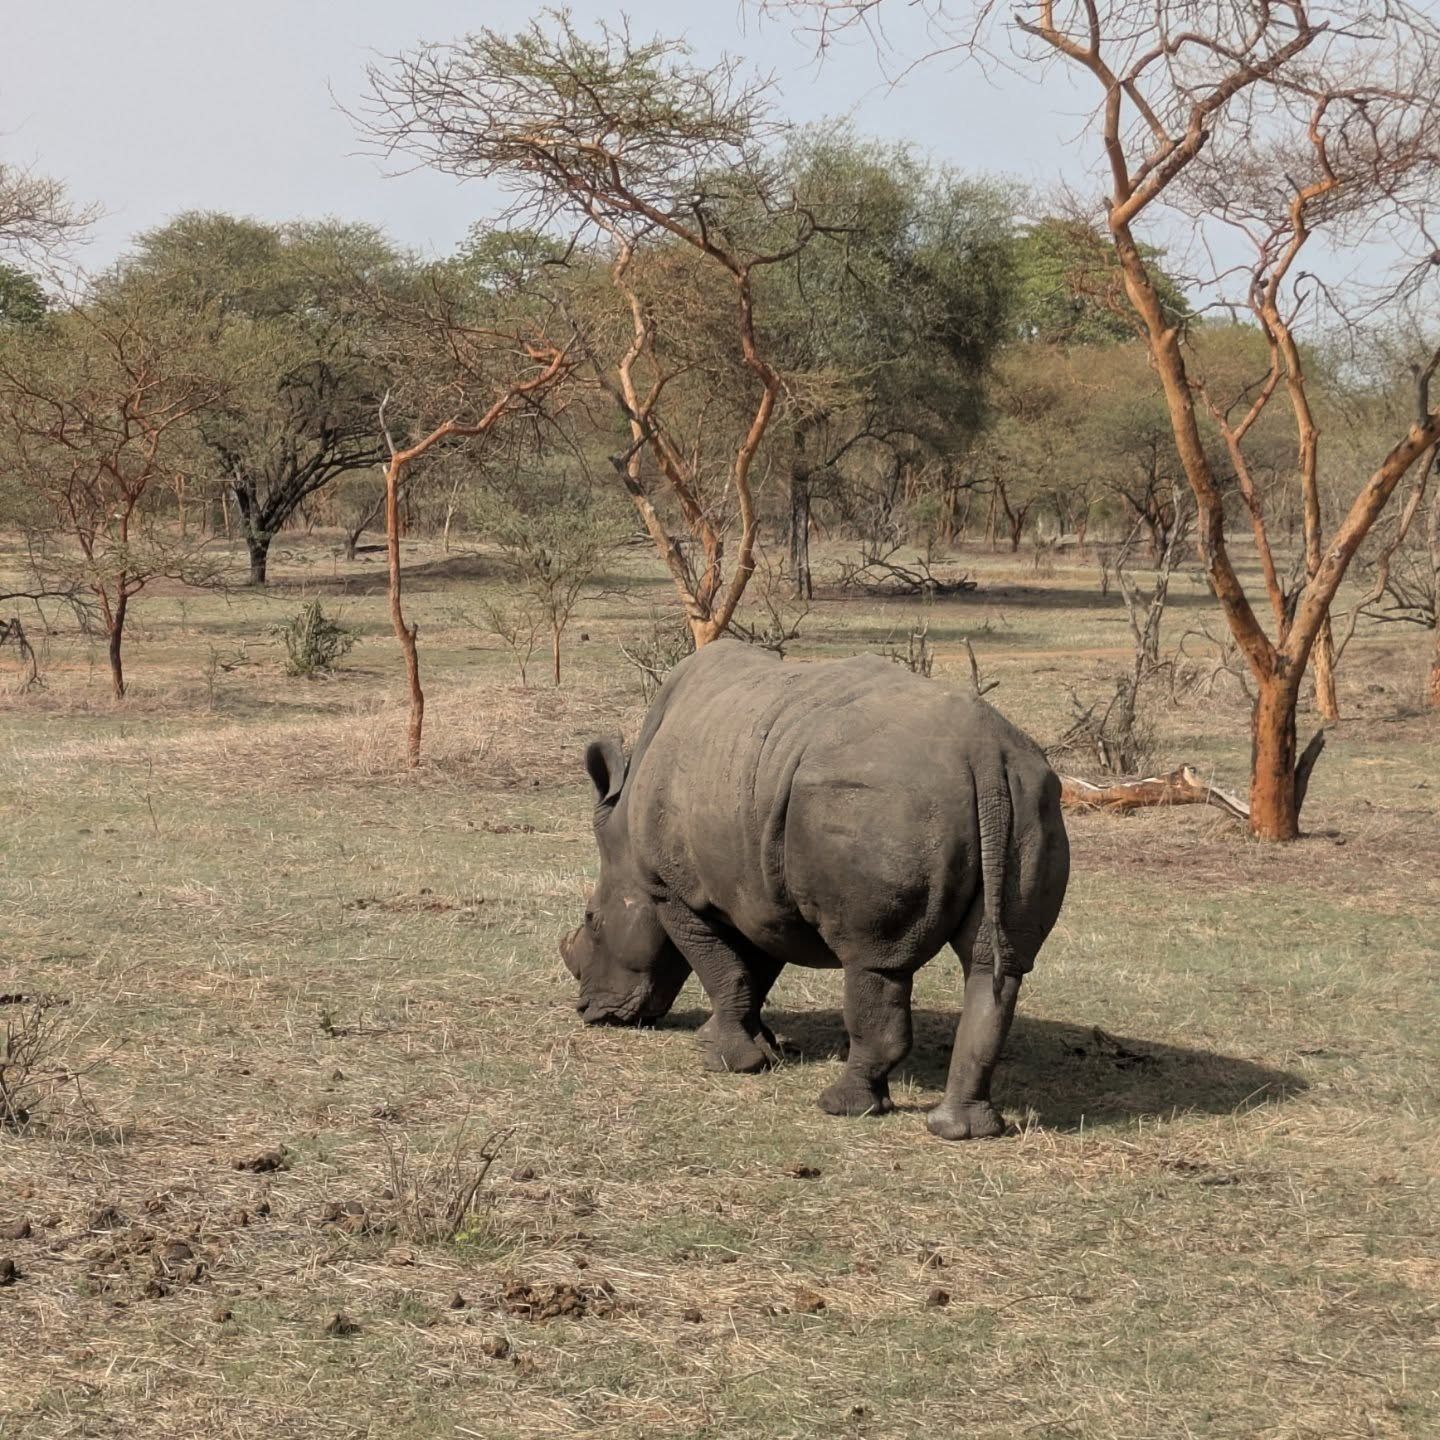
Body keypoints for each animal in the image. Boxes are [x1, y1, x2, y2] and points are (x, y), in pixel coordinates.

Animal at [560, 641, 1069, 1139]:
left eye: (592, 920)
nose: (589, 1011)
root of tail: (986, 757)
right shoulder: (756, 888)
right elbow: (751, 970)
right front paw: (749, 1046)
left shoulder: (673, 891)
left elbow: (723, 969)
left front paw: (728, 1062)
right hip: (1029, 802)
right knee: (994, 964)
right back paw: (962, 1129)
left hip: (881, 803)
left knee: (873, 959)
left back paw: (842, 1107)